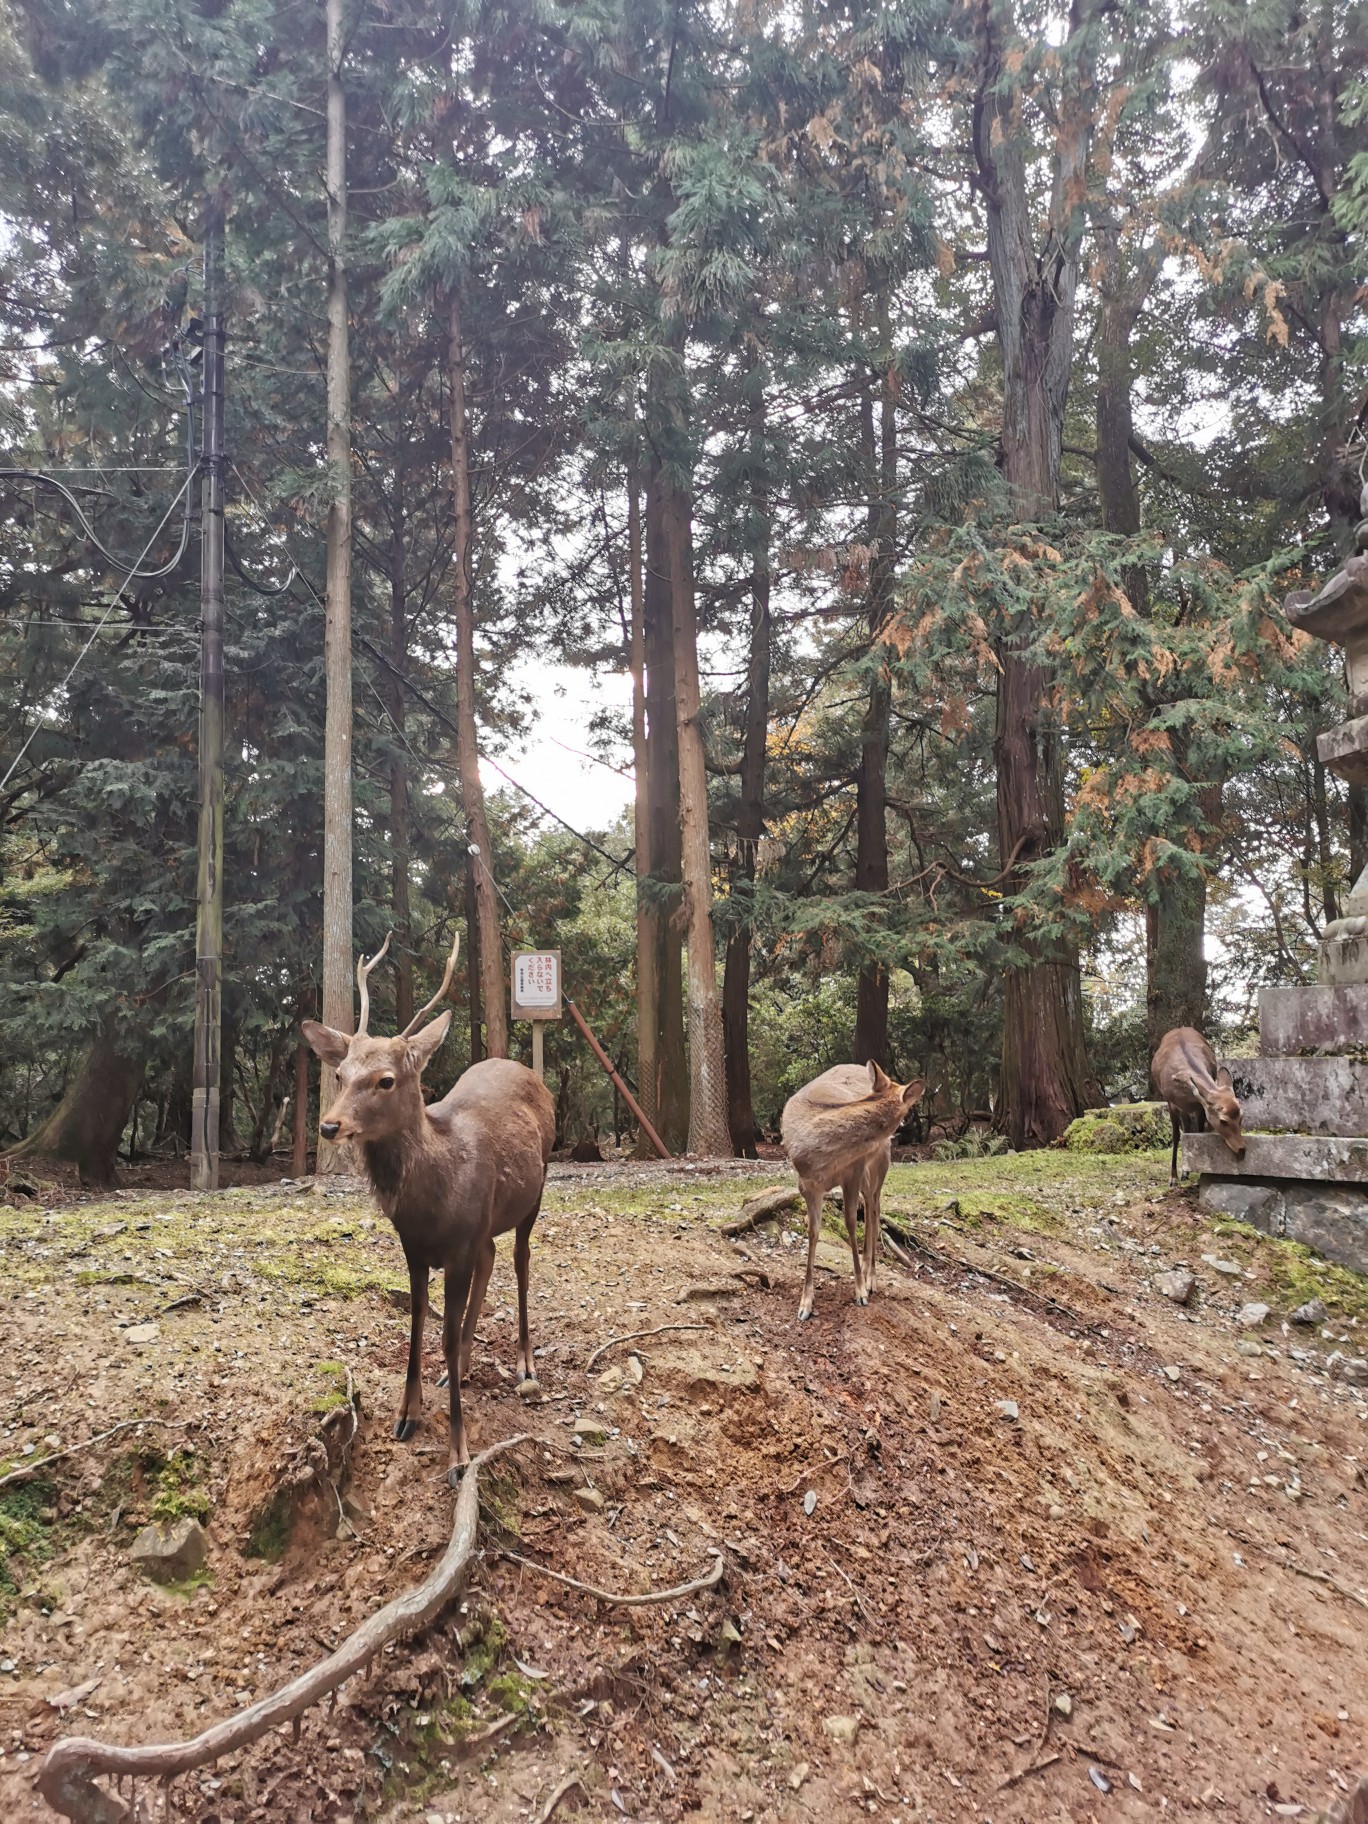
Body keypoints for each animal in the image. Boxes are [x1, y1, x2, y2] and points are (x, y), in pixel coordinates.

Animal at [302, 933, 554, 1473]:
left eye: (386, 1079)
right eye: (341, 1073)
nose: (330, 1125)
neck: (432, 1206)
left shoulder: (458, 1248)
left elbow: (443, 1333)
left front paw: (458, 1452)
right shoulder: (415, 1250)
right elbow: (420, 1326)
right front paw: (407, 1414)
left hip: (539, 1185)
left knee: (521, 1260)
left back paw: (524, 1362)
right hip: (487, 1226)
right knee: (492, 1257)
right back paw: (463, 1367)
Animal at [1152, 1021, 1247, 1189]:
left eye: (1241, 1117)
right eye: (1223, 1121)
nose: (1242, 1149)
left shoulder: (1200, 1107)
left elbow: (1199, 1133)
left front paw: (1199, 1175)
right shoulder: (1171, 1103)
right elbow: (1176, 1136)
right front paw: (1173, 1178)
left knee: (1188, 1128)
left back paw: (1186, 1172)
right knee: (1185, 1130)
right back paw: (1182, 1174)